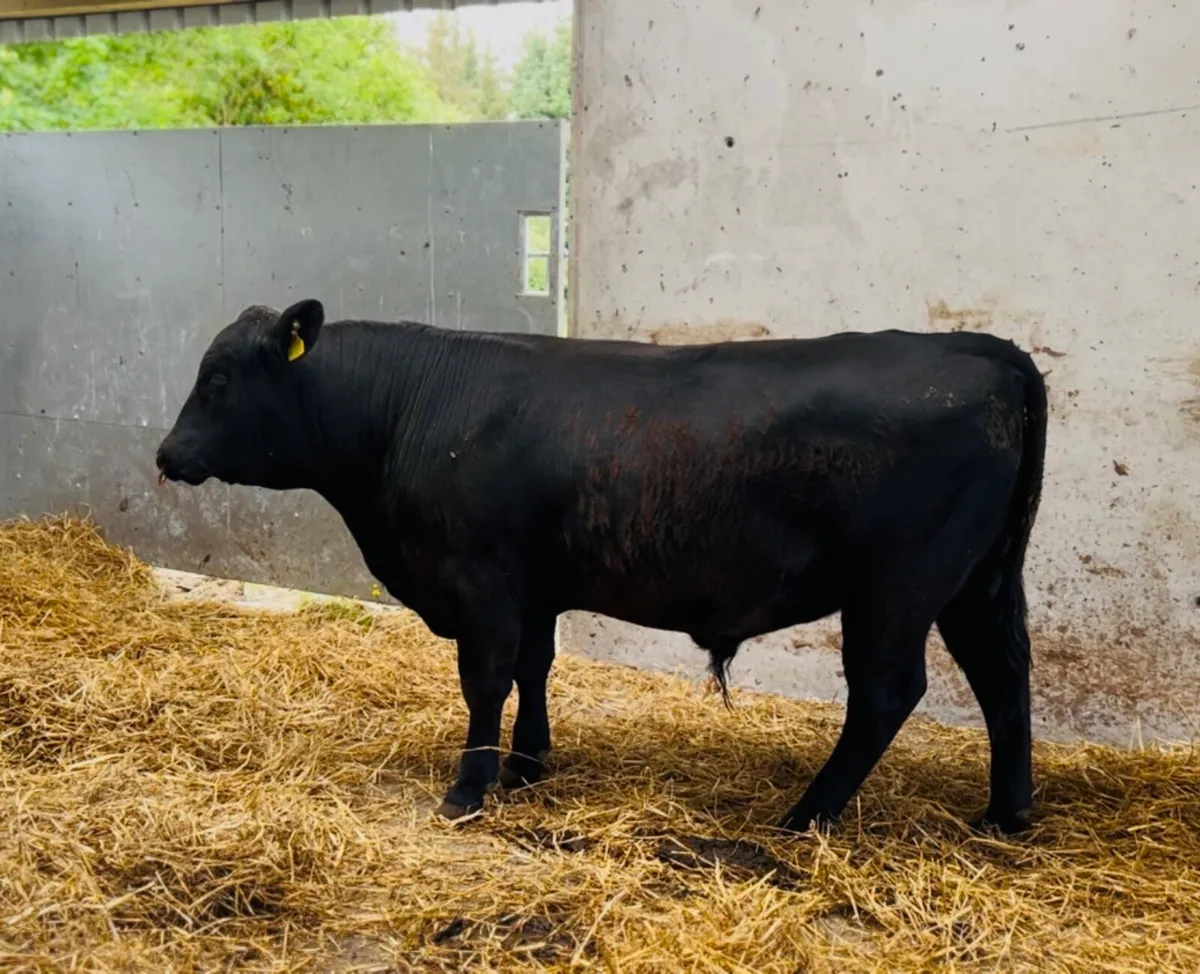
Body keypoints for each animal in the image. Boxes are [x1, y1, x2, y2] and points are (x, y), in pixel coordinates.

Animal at [156, 299, 1047, 836]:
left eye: (220, 378)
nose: (167, 454)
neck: (408, 409)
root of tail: (979, 347)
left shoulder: (479, 581)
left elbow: (486, 679)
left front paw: (469, 789)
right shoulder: (532, 585)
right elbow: (534, 668)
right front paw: (526, 766)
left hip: (896, 588)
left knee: (887, 693)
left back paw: (808, 813)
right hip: (978, 582)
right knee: (1004, 675)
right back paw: (1005, 813)